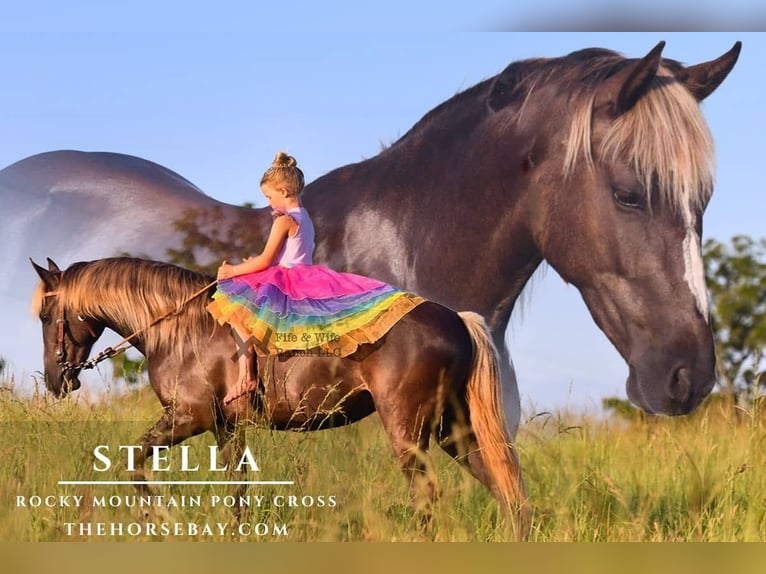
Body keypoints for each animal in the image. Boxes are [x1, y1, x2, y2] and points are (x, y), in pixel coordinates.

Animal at [30, 256, 528, 533]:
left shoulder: (188, 418)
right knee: (505, 490)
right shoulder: (226, 428)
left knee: (427, 496)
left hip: (409, 431)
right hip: (451, 430)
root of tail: (457, 318)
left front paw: (158, 519)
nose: (56, 382)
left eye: (47, 315)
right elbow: (237, 490)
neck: (180, 327)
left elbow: (129, 462)